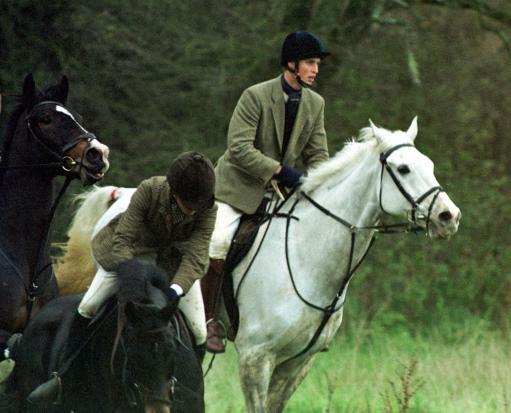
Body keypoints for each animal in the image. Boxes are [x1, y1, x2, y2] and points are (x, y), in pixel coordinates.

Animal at [54, 116, 462, 412]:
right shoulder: (256, 358)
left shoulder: (298, 362)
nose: (449, 217)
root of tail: (120, 196)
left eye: (429, 164)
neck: (307, 255)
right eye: (404, 169)